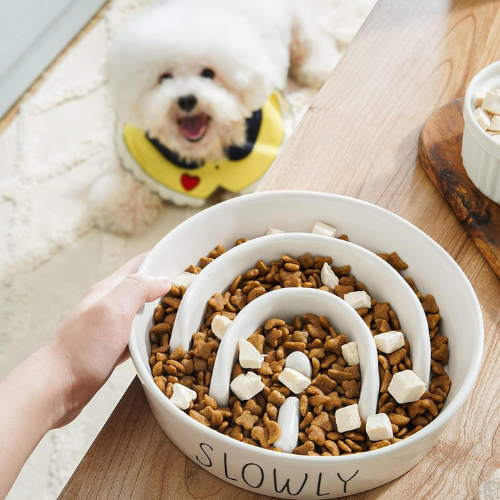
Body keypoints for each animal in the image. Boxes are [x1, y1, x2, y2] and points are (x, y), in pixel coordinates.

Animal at [91, 0, 340, 232]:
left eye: (208, 73)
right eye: (164, 77)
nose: (186, 100)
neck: (207, 153)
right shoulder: (139, 156)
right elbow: (126, 184)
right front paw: (118, 204)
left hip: (298, 23)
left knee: (313, 43)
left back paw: (319, 67)